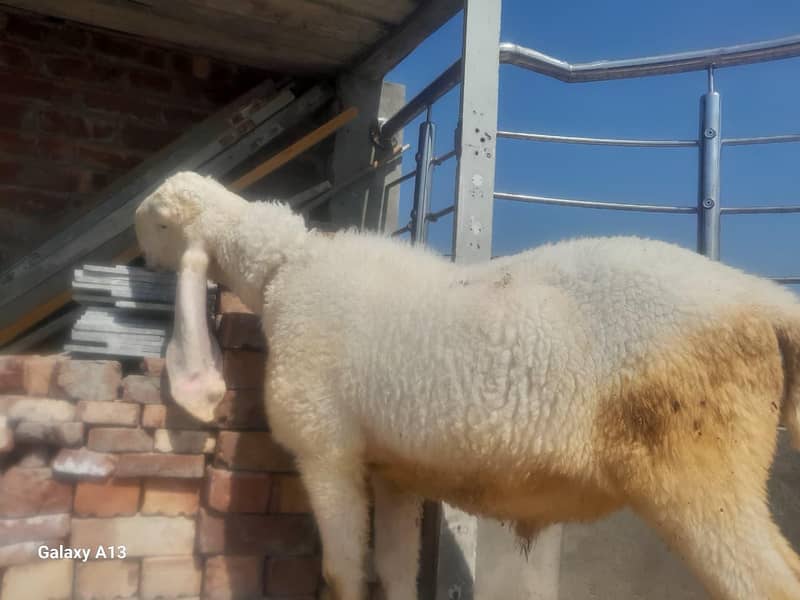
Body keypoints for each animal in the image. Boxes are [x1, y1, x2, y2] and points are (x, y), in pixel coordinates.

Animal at [135, 171, 800, 600]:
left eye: (159, 222)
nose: (135, 257)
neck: (285, 266)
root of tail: (765, 302)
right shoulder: (394, 472)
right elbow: (394, 574)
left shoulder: (325, 448)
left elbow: (343, 574)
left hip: (698, 468)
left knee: (768, 583)